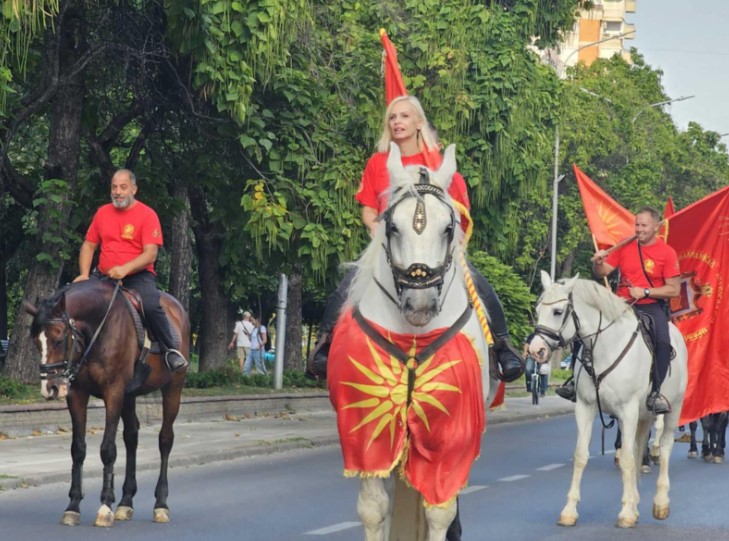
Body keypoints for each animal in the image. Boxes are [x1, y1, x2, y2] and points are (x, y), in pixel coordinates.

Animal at [24, 280, 191, 524]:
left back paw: (160, 504)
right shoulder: (78, 394)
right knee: (131, 437)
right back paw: (126, 501)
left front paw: (104, 506)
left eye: (59, 338)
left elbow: (108, 449)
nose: (50, 388)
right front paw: (73, 505)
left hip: (173, 388)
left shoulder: (114, 392)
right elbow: (78, 449)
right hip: (129, 395)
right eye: (36, 342)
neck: (97, 329)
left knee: (165, 439)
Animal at [328, 143, 494, 540]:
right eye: (392, 227)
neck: (413, 337)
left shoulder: (451, 431)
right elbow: (374, 509)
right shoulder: (366, 426)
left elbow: (440, 511)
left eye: (449, 227)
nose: (420, 305)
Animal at [528, 272, 684, 524]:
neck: (605, 347)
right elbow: (581, 455)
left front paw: (626, 512)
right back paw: (637, 501)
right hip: (643, 415)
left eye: (558, 312)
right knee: (639, 446)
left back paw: (660, 502)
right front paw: (570, 510)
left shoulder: (628, 411)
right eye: (538, 308)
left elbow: (628, 458)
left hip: (672, 409)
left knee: (665, 447)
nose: (535, 350)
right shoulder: (585, 407)